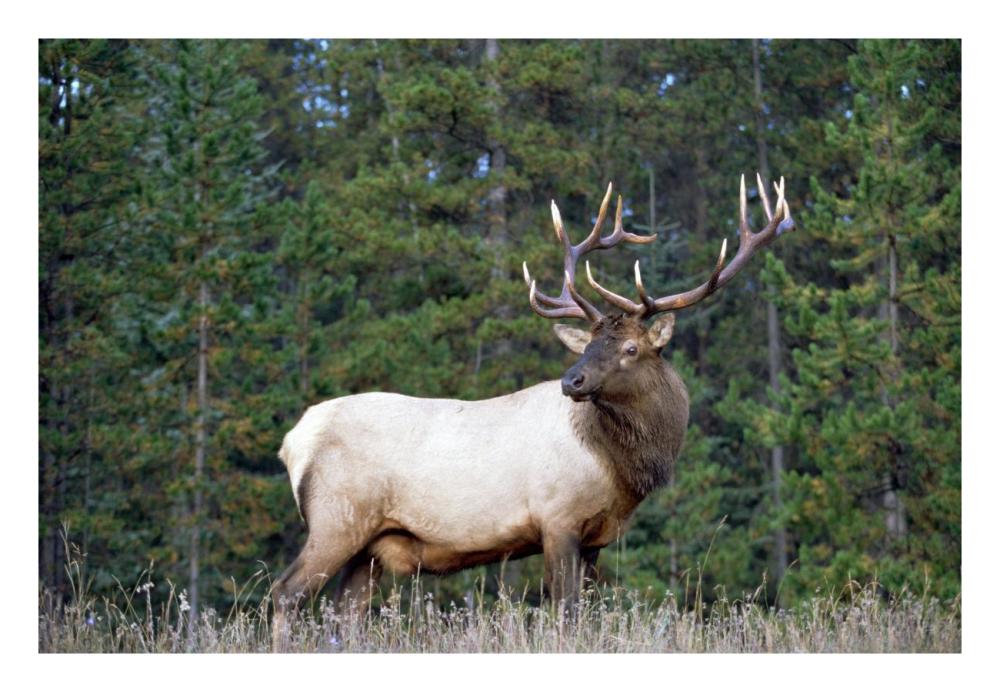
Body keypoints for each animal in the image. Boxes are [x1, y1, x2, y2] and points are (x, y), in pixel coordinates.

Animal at [270, 174, 794, 648]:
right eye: (590, 345)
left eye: (630, 348)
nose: (571, 381)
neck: (617, 468)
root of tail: (293, 441)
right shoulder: (557, 518)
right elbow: (564, 614)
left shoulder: (596, 538)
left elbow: (586, 615)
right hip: (336, 517)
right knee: (285, 594)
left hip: (370, 546)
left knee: (345, 617)